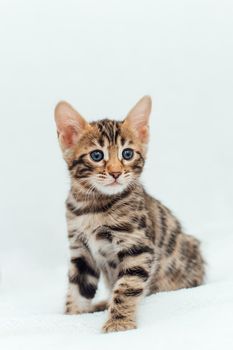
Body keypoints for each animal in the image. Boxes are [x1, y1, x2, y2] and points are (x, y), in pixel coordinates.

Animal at [54, 96, 204, 334]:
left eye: (127, 153)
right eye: (97, 155)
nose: (116, 173)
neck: (93, 206)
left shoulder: (137, 245)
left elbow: (126, 287)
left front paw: (119, 322)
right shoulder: (81, 250)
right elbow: (78, 287)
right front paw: (72, 316)